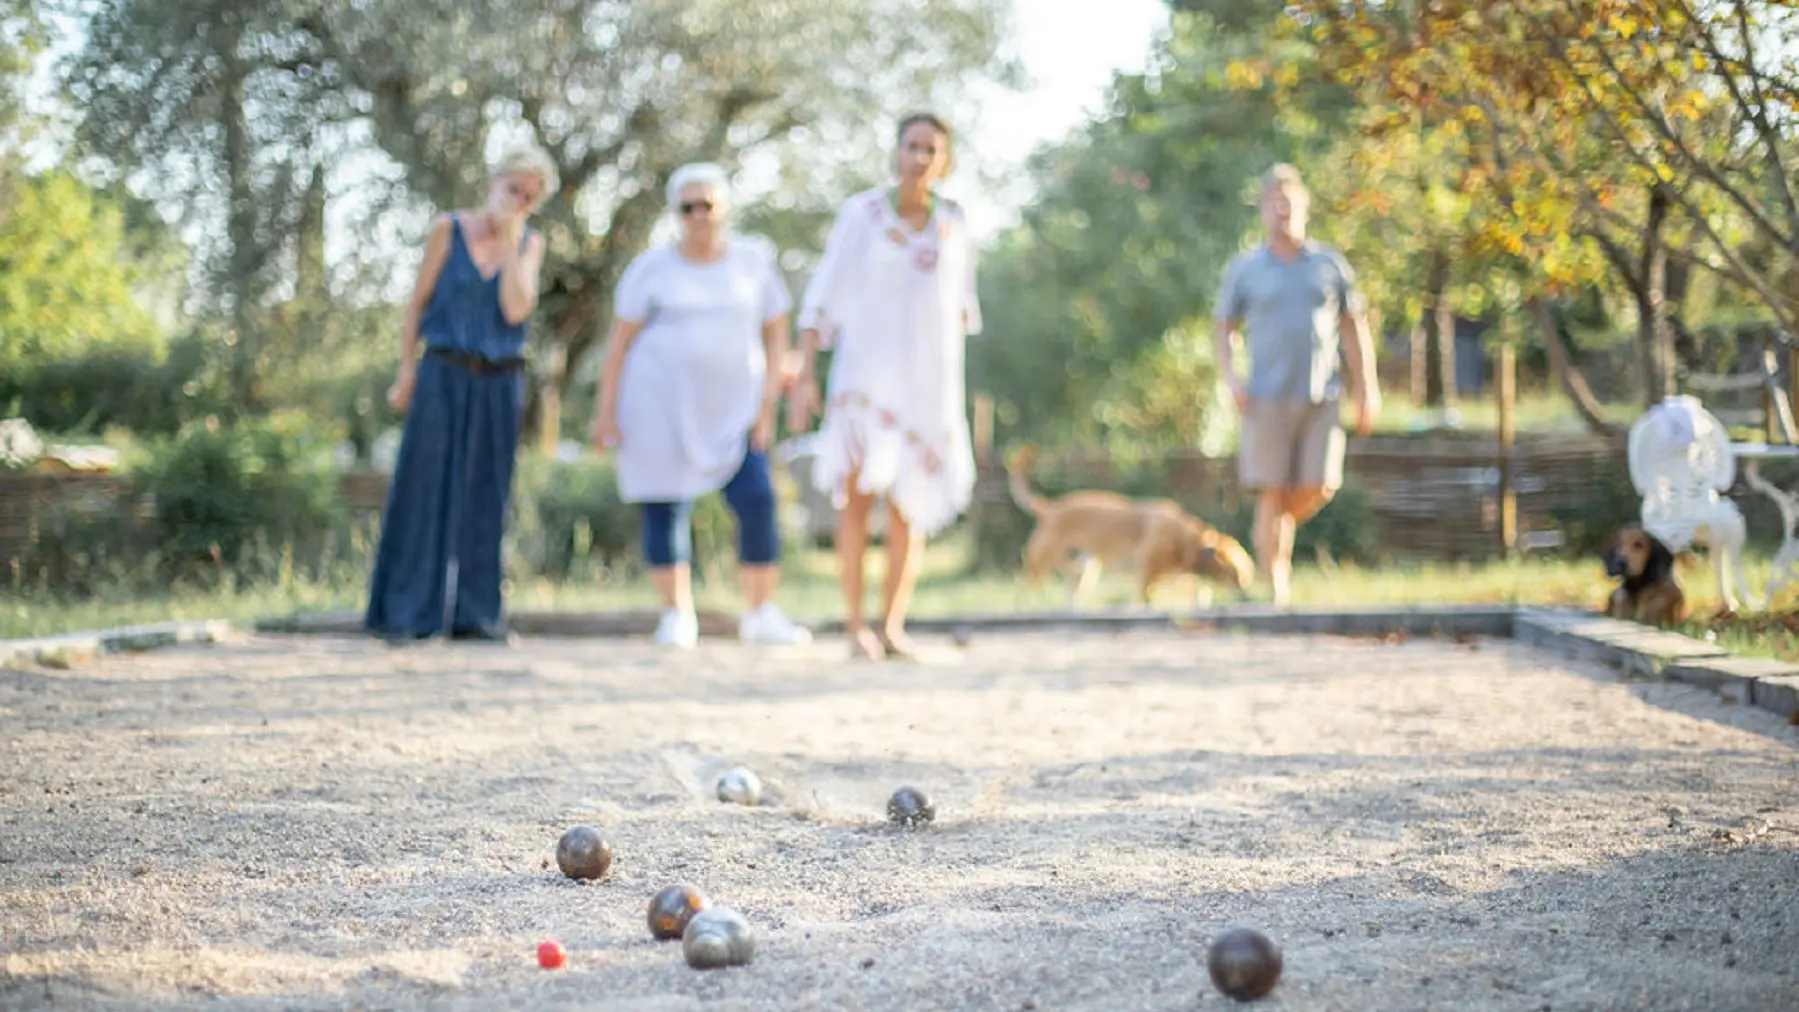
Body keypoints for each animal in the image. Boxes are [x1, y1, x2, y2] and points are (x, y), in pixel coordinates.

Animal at [1014, 451, 1252, 611]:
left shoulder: (1179, 575)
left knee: (1071, 595)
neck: (1187, 540)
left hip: (1083, 570)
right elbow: (1145, 599)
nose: (1247, 596)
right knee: (1025, 588)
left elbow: (1197, 591)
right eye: (1236, 573)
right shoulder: (1146, 571)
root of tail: (1050, 509)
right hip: (1041, 564)